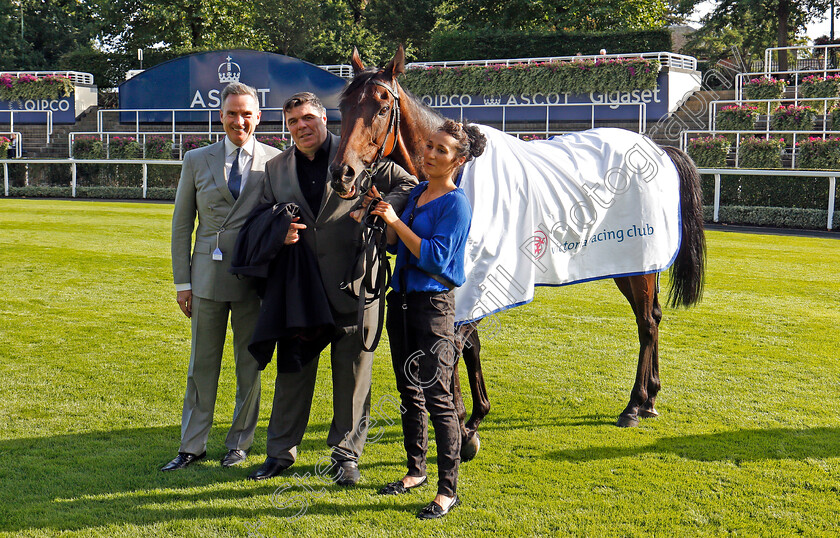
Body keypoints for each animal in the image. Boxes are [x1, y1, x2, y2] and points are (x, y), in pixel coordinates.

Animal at [328, 46, 704, 458]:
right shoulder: (469, 280)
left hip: (638, 266)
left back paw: (634, 405)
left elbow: (454, 346)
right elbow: (468, 345)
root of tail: (660, 149)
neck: (458, 174)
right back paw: (651, 397)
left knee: (647, 323)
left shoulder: (474, 273)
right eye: (343, 105)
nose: (342, 174)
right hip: (632, 263)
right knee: (653, 317)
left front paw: (462, 425)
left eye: (382, 106)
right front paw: (472, 418)